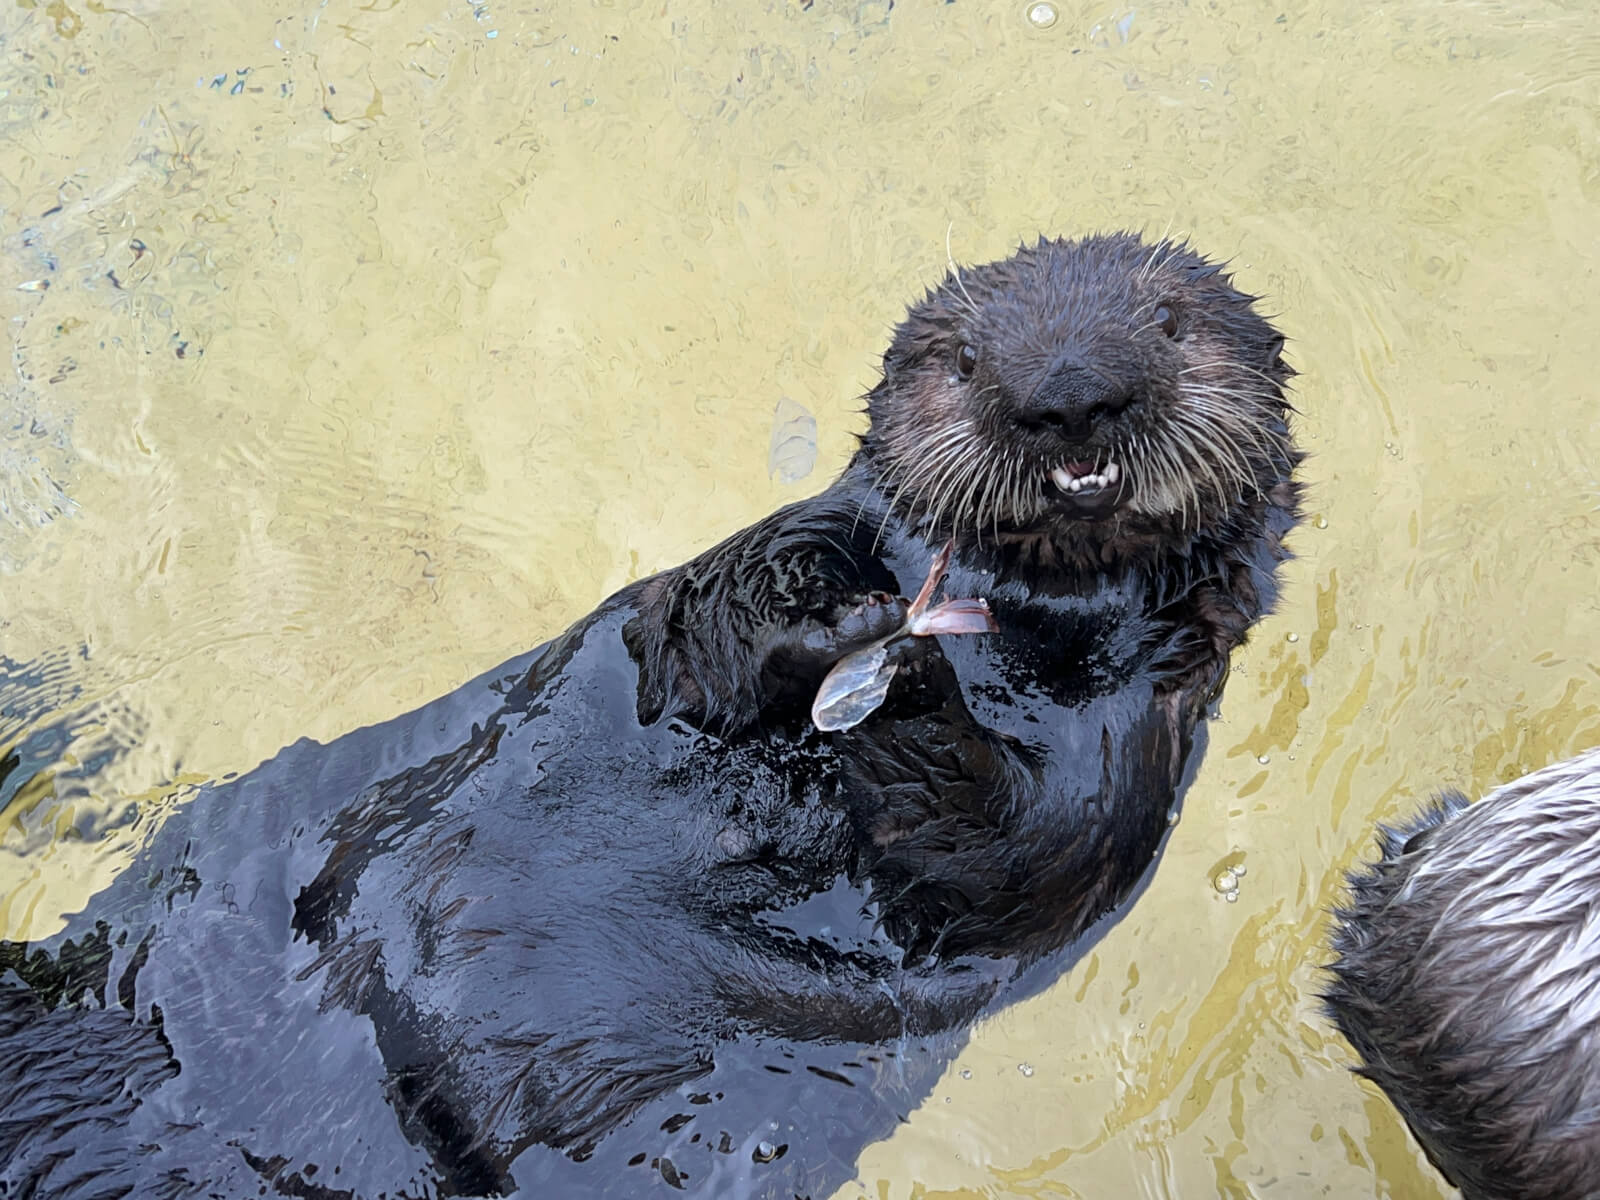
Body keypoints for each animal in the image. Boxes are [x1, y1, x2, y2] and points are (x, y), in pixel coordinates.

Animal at [0, 233, 1299, 1199]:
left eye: (1169, 324)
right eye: (970, 360)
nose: (1068, 396)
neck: (1015, 612)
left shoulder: (1139, 735)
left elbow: (1015, 859)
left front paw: (906, 680)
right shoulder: (698, 612)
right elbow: (679, 639)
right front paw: (818, 599)